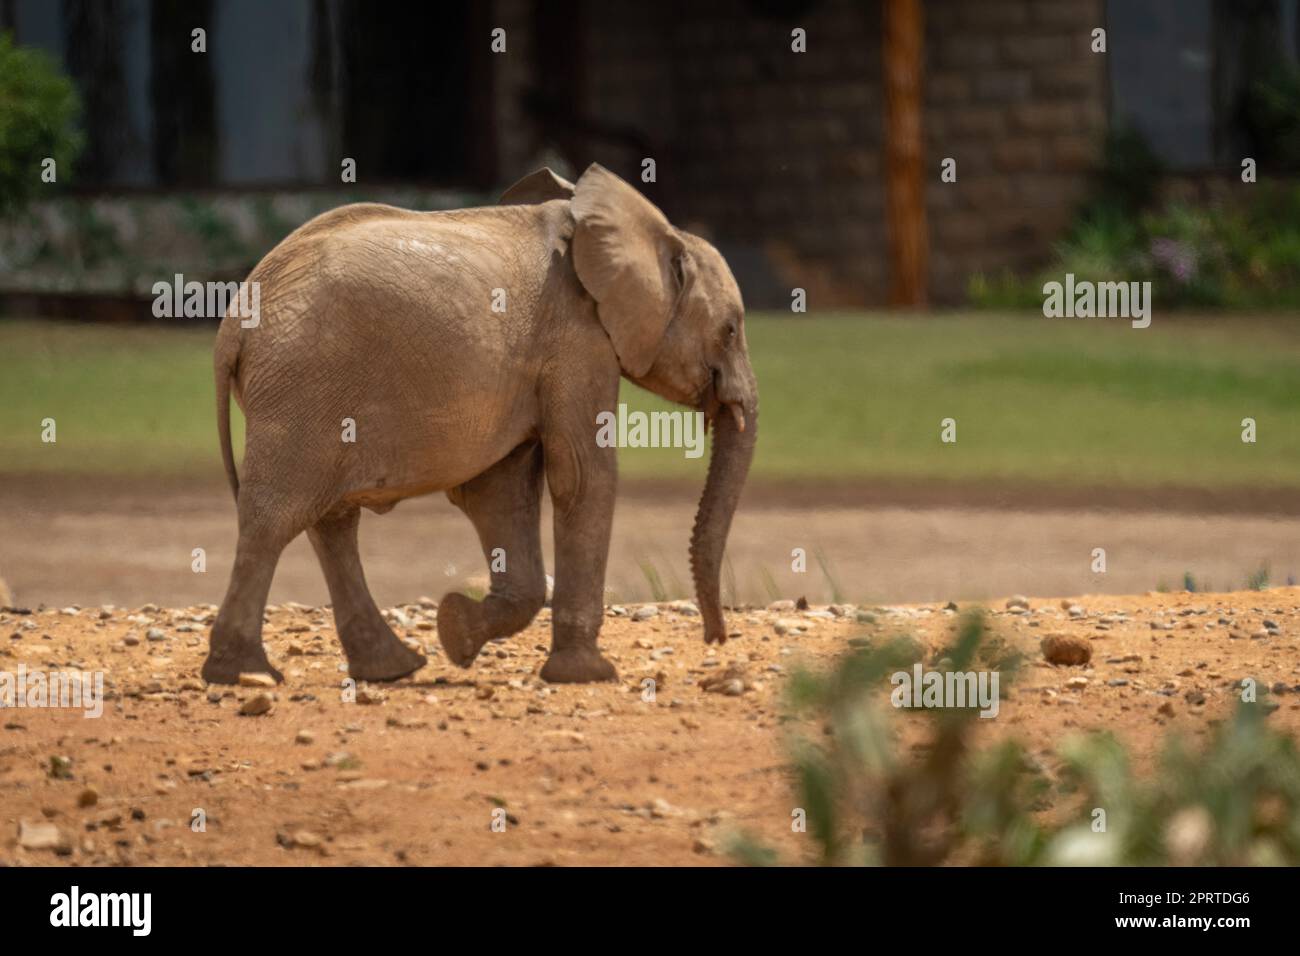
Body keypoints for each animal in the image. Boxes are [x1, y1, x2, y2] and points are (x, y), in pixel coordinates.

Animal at [197, 166, 759, 686]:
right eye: (731, 331)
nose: (716, 638)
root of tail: (233, 322)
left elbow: (501, 491)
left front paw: (455, 630)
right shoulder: (578, 339)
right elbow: (582, 476)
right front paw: (589, 674)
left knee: (330, 521)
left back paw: (392, 668)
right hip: (303, 388)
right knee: (275, 519)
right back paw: (242, 673)